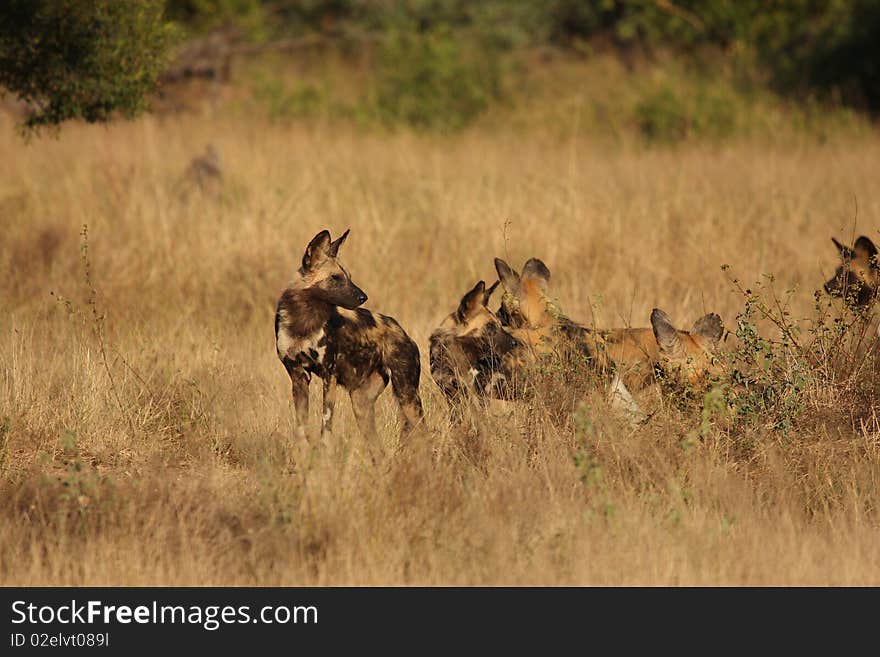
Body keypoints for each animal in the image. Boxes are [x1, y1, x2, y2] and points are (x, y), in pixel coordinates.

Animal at [276, 228, 424, 444]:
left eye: (349, 276)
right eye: (336, 278)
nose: (364, 297)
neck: (304, 321)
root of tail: (403, 332)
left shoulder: (328, 375)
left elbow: (326, 426)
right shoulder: (298, 376)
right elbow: (302, 428)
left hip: (407, 397)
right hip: (362, 406)